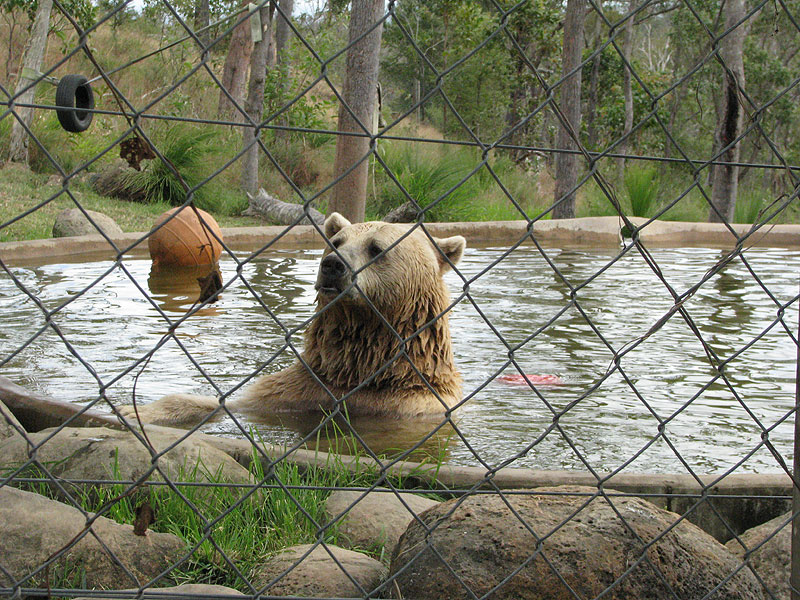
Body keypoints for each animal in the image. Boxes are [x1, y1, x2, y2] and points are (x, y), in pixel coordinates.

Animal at [119, 212, 466, 427]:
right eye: (337, 241)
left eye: (377, 248)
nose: (332, 265)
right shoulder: (300, 389)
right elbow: (232, 403)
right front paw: (134, 410)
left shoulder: (407, 406)